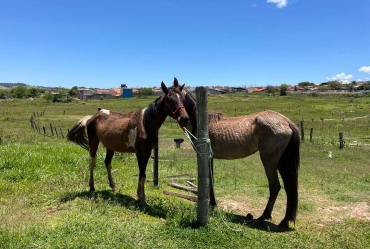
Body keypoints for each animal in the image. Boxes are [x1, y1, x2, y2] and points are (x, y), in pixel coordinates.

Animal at [174, 80, 300, 229]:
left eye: (176, 97)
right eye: (170, 98)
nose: (183, 119)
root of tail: (286, 121)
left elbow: (209, 181)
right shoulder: (210, 158)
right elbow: (211, 181)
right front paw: (212, 204)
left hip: (269, 160)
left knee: (275, 186)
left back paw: (262, 217)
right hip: (282, 162)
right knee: (289, 187)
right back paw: (285, 220)